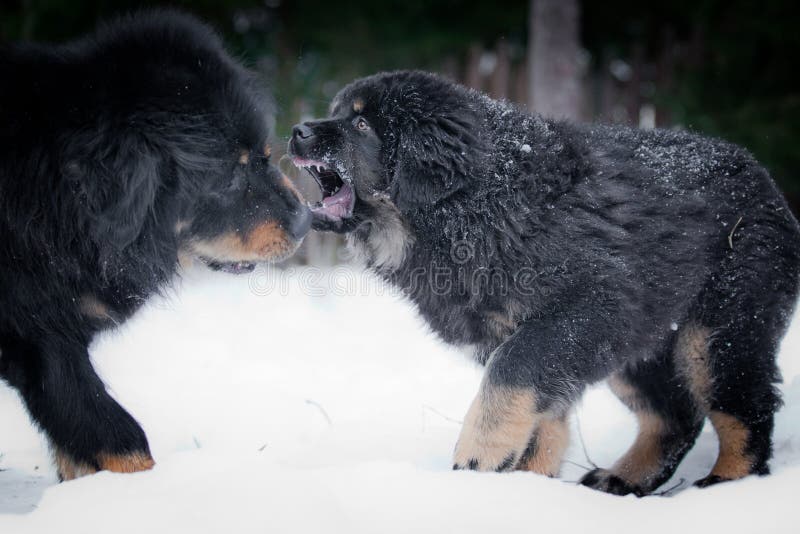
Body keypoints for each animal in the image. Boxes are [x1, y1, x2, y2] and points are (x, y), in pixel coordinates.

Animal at [290, 71, 800, 498]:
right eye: (338, 111)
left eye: (361, 125)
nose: (297, 130)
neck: (475, 209)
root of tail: (765, 181)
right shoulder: (524, 333)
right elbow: (541, 410)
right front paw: (528, 481)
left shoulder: (586, 307)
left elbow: (512, 371)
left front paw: (478, 456)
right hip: (645, 339)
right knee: (674, 415)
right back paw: (624, 478)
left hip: (717, 328)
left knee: (744, 405)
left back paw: (726, 485)